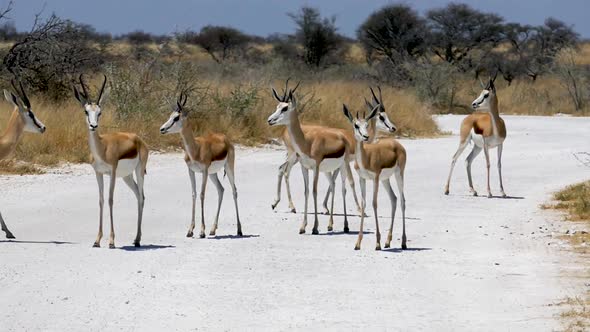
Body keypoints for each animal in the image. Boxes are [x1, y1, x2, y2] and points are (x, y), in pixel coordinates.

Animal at [73, 74, 150, 248]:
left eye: (100, 112)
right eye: (86, 111)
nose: (93, 126)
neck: (103, 148)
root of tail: (138, 139)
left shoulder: (112, 172)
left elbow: (110, 200)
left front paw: (112, 241)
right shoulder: (98, 173)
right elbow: (101, 200)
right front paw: (97, 240)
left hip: (139, 171)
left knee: (142, 197)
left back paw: (137, 239)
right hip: (127, 177)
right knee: (138, 195)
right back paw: (136, 239)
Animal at [160, 92, 243, 237]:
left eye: (176, 117)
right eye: (169, 116)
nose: (162, 129)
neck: (196, 149)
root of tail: (225, 138)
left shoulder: (203, 171)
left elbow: (202, 194)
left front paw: (202, 231)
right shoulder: (191, 171)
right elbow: (193, 194)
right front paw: (190, 230)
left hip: (228, 167)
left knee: (234, 191)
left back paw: (239, 229)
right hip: (213, 174)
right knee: (221, 190)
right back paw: (213, 229)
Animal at [270, 80, 356, 235]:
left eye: (285, 108)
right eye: (277, 106)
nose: (270, 120)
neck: (307, 142)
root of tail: (344, 136)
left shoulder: (315, 168)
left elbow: (315, 191)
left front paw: (315, 227)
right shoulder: (304, 167)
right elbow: (307, 191)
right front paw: (303, 227)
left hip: (343, 166)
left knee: (343, 188)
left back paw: (346, 226)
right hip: (329, 169)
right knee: (333, 186)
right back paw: (330, 225)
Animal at [342, 103, 408, 249]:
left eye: (366, 124)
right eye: (356, 125)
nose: (366, 137)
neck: (366, 158)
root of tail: (397, 144)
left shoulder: (375, 178)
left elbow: (374, 203)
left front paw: (377, 243)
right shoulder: (362, 179)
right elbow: (364, 204)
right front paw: (358, 243)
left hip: (398, 174)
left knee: (402, 201)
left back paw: (403, 242)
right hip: (385, 180)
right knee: (394, 199)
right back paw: (388, 241)